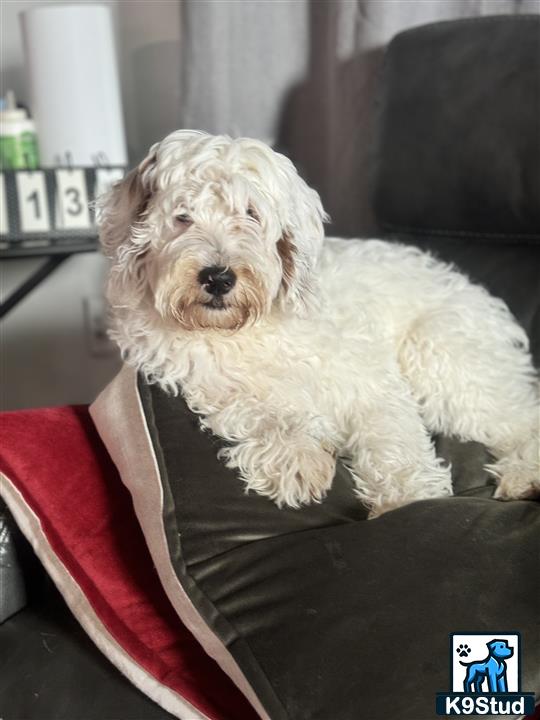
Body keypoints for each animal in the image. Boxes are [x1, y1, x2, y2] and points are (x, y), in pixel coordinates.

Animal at [99, 128, 536, 512]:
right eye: (183, 216)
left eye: (251, 214)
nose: (218, 278)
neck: (250, 331)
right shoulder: (205, 381)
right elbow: (256, 412)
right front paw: (295, 458)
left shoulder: (370, 384)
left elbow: (391, 438)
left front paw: (409, 497)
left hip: (441, 356)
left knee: (518, 416)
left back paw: (525, 474)